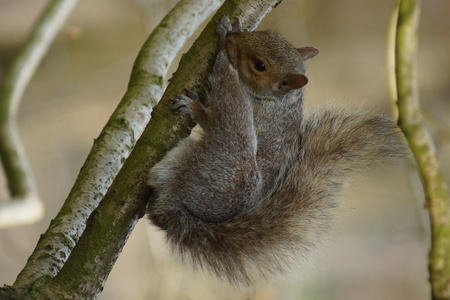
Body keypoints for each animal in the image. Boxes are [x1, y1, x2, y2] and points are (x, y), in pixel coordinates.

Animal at [148, 15, 408, 286]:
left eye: (259, 65)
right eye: (271, 34)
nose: (231, 37)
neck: (279, 99)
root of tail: (179, 211)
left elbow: (223, 100)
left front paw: (222, 40)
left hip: (227, 155)